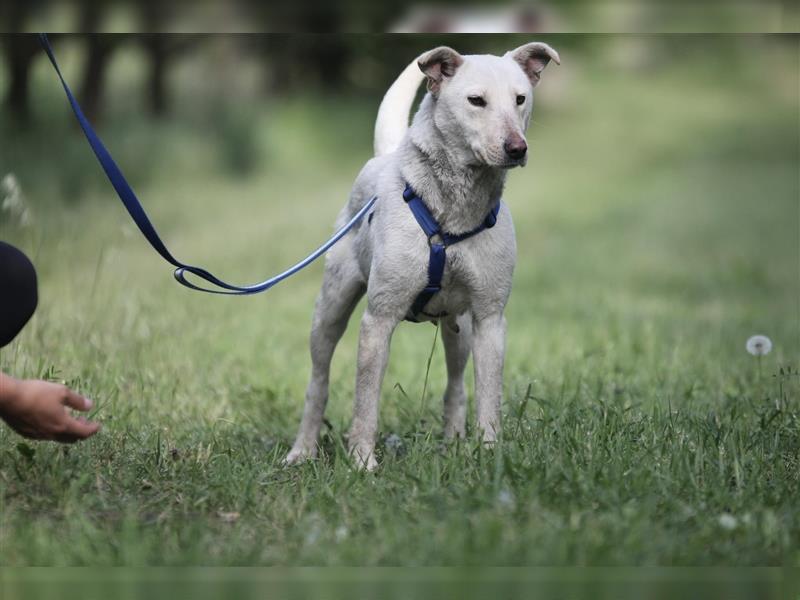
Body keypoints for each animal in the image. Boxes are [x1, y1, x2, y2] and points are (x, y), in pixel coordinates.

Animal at [286, 43, 556, 474]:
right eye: (476, 100)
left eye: (520, 99)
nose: (517, 148)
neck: (453, 213)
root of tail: (385, 156)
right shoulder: (378, 320)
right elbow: (366, 399)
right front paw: (362, 461)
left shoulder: (489, 320)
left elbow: (489, 395)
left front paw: (489, 454)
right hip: (330, 308)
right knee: (319, 378)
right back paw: (302, 450)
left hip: (459, 329)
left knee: (456, 384)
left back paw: (454, 443)